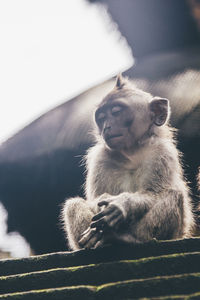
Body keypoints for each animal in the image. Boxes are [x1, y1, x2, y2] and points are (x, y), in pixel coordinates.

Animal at [61, 74, 194, 251]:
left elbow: (153, 193)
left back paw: (125, 239)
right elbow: (95, 199)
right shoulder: (100, 157)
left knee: (173, 194)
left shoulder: (161, 151)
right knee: (73, 204)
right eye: (102, 118)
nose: (107, 127)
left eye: (116, 112)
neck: (131, 151)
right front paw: (104, 203)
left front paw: (123, 204)